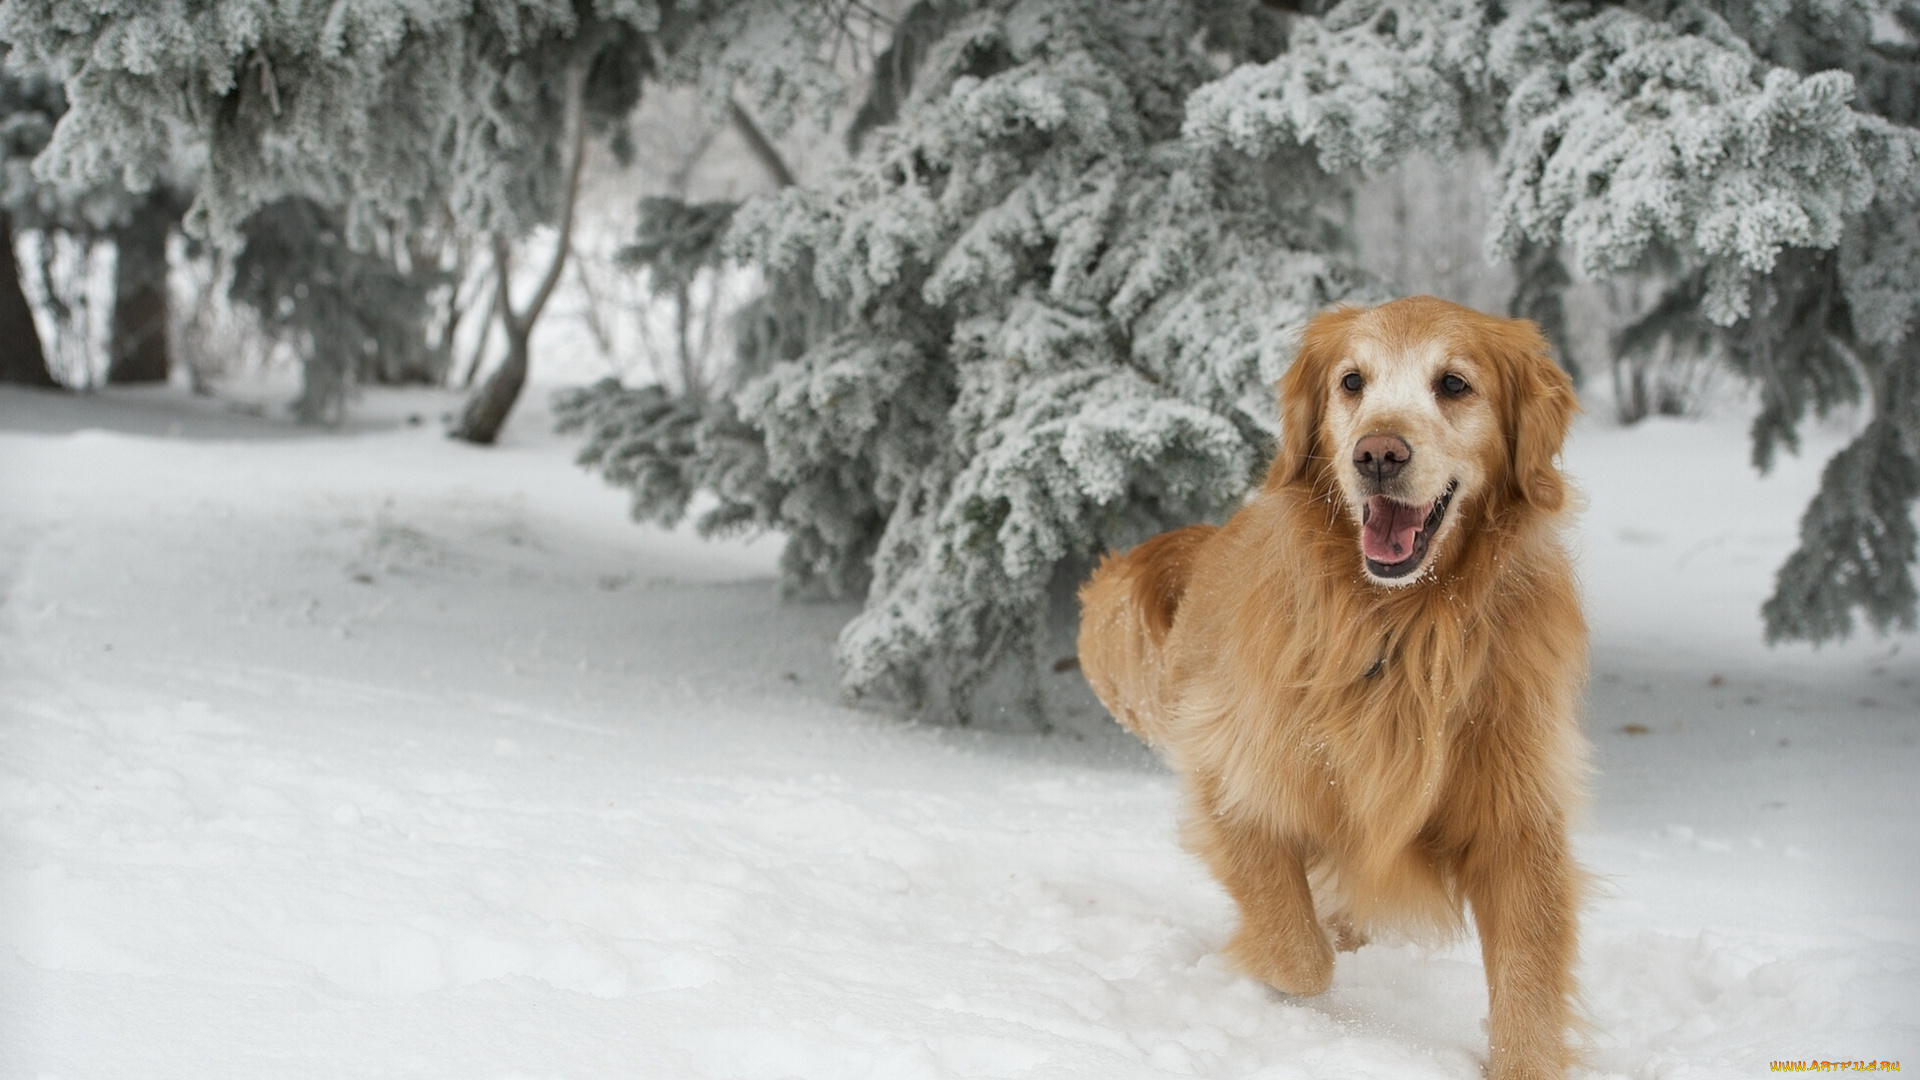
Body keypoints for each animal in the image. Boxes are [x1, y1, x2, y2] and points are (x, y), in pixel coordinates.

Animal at [1082, 294, 1589, 1076]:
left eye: (1454, 384)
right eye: (1353, 381)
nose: (1378, 453)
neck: (1401, 627)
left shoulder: (1517, 812)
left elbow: (1528, 985)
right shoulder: (1236, 777)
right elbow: (1298, 953)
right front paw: (1266, 975)